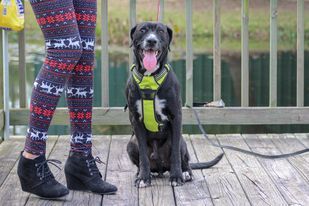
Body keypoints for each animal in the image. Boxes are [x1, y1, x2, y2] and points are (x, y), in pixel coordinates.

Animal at [124, 21, 223, 187]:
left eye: (161, 31)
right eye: (142, 30)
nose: (151, 41)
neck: (150, 78)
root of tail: (160, 167)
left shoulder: (176, 117)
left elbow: (175, 153)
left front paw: (177, 176)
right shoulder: (135, 119)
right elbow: (143, 155)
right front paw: (143, 177)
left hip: (182, 142)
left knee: (184, 161)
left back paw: (185, 173)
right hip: (131, 143)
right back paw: (141, 173)